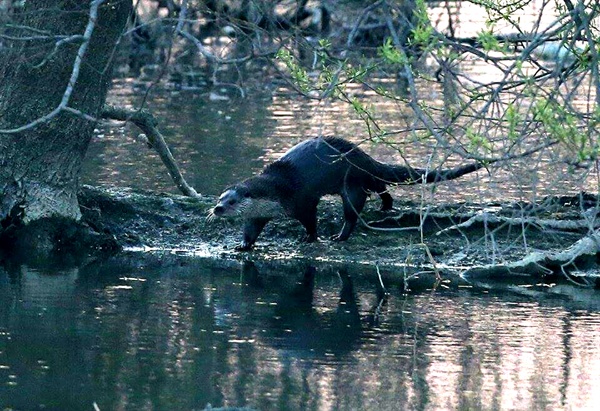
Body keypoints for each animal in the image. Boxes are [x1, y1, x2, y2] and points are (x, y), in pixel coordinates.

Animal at [211, 137, 488, 251]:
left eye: (232, 201)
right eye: (220, 198)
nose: (216, 209)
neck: (279, 189)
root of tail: (362, 156)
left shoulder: (302, 200)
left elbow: (310, 219)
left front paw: (310, 237)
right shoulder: (258, 214)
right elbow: (251, 229)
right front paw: (243, 245)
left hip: (351, 183)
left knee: (353, 212)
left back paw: (340, 236)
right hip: (365, 178)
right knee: (381, 187)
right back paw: (386, 206)